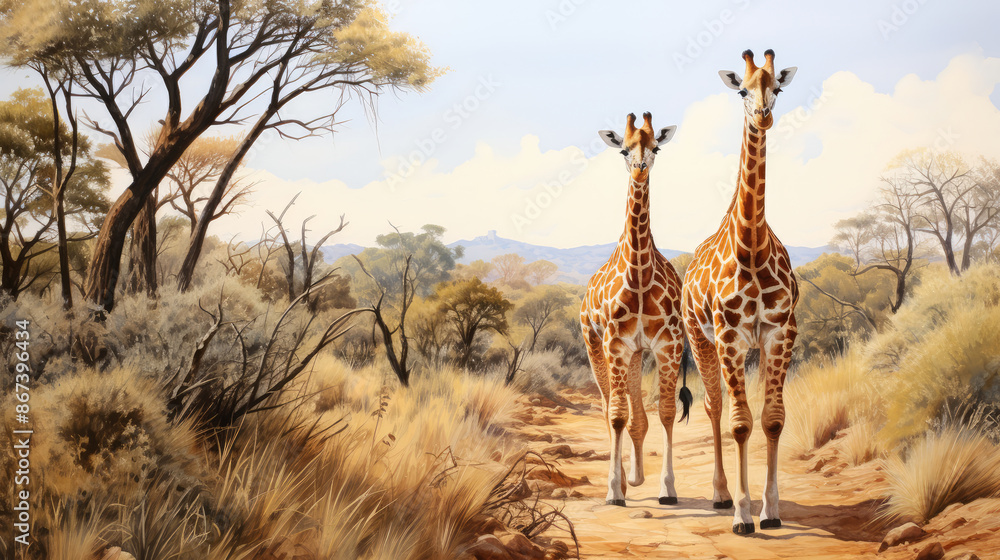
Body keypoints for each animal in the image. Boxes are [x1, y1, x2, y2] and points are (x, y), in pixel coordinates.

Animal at [580, 112, 693, 507]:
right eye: (623, 150)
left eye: (655, 147)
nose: (640, 168)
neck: (640, 277)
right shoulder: (614, 344)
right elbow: (616, 415)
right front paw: (614, 491)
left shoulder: (667, 345)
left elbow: (666, 412)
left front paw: (667, 488)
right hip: (595, 345)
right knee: (609, 408)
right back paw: (621, 481)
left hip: (635, 354)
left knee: (637, 414)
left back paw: (636, 477)